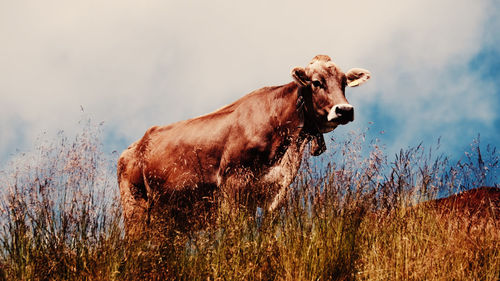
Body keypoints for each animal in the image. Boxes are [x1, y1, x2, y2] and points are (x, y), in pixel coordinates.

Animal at [117, 55, 372, 234]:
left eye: (344, 83)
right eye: (317, 82)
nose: (344, 110)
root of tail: (133, 148)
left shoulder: (276, 190)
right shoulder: (233, 184)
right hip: (135, 206)